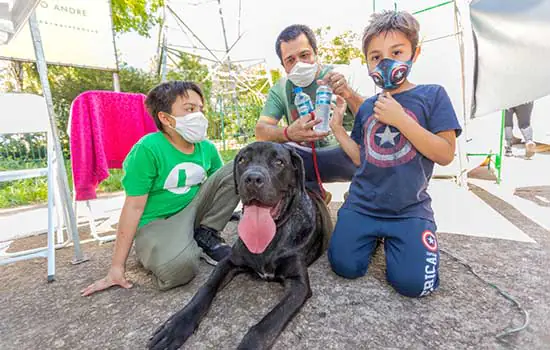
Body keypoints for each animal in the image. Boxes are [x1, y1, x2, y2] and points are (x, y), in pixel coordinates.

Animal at [149, 142, 334, 350]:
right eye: (243, 160)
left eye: (279, 162)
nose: (252, 179)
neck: (271, 237)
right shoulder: (228, 262)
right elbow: (205, 289)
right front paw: (176, 325)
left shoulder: (299, 284)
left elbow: (267, 324)